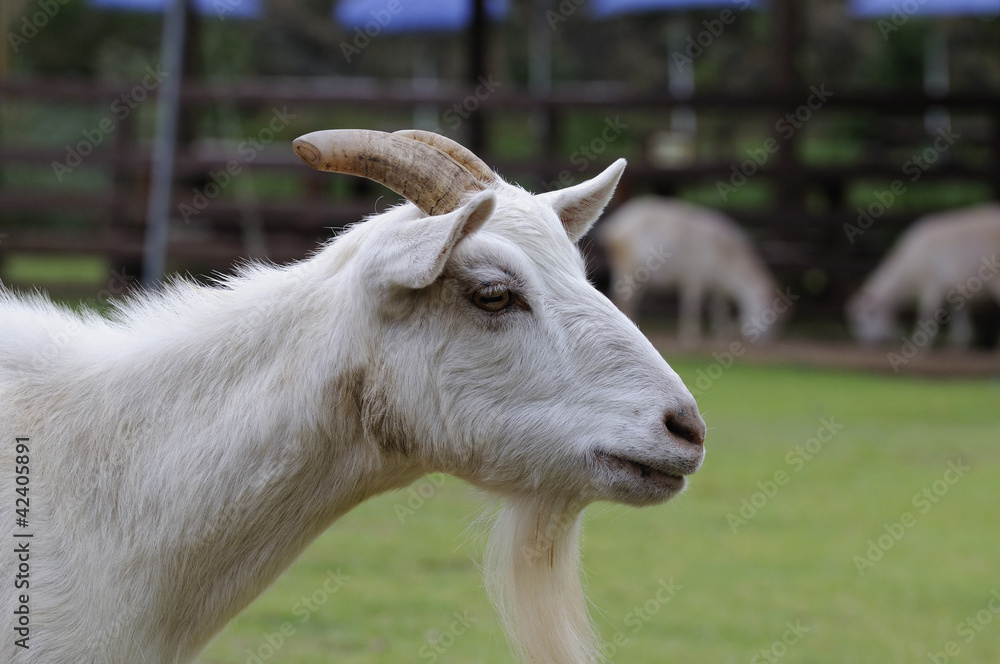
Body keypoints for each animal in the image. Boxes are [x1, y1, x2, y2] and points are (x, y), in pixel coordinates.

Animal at [592, 196, 780, 342]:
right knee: (624, 296)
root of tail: (613, 229)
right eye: (767, 311)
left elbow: (718, 307)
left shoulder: (715, 284)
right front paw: (690, 336)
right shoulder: (694, 276)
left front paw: (721, 334)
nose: (768, 339)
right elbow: (692, 305)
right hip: (627, 265)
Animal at [844, 202, 1000, 348]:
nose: (866, 343)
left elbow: (927, 312)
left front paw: (921, 342)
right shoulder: (955, 288)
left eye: (867, 316)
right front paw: (959, 342)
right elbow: (960, 315)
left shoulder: (932, 284)